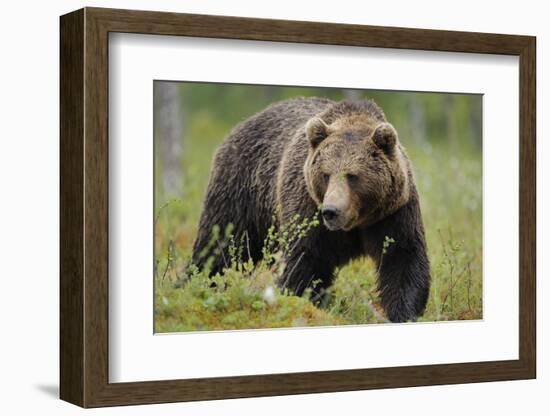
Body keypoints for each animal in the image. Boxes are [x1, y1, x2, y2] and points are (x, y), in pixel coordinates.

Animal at [193, 96, 432, 322]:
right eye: (326, 174)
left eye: (352, 176)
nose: (331, 211)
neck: (356, 222)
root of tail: (242, 124)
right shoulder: (307, 208)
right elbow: (304, 261)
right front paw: (306, 303)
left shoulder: (393, 212)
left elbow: (402, 258)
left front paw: (403, 313)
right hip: (241, 190)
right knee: (220, 245)